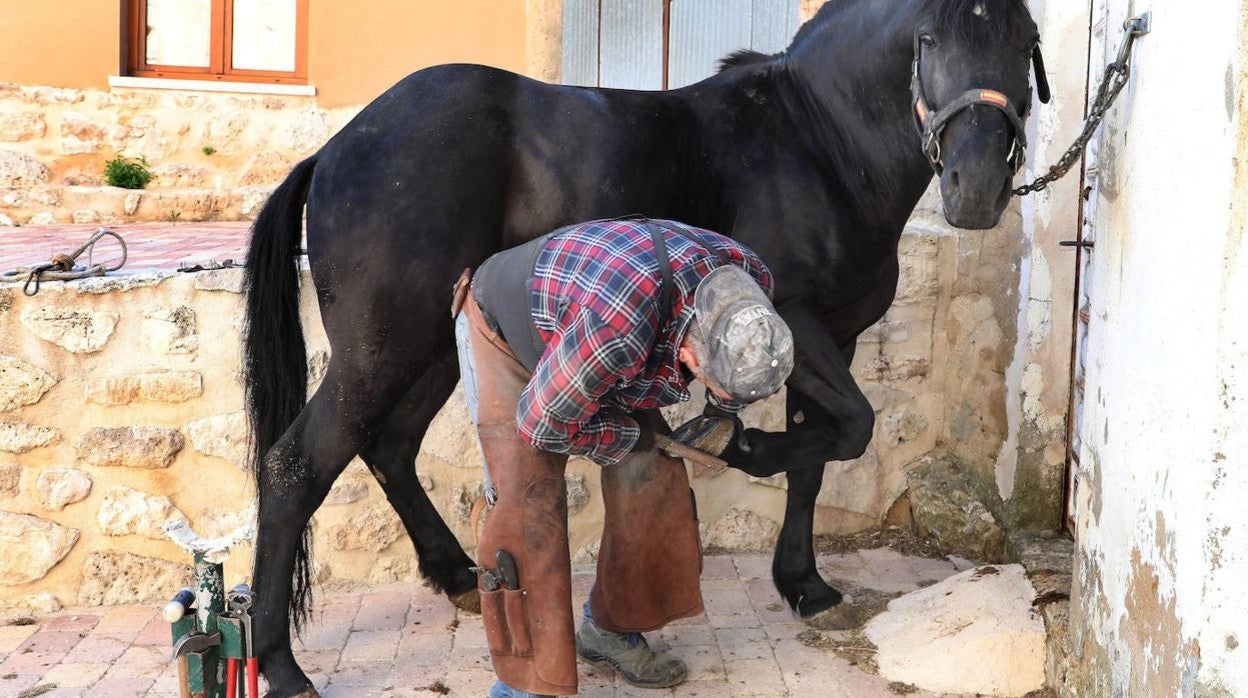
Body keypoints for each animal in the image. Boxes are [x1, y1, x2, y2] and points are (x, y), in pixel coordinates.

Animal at [243, 0, 1043, 694]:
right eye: (929, 38)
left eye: (1026, 40)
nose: (976, 189)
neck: (818, 143)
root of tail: (336, 149)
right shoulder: (796, 318)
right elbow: (852, 428)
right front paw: (744, 449)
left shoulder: (838, 337)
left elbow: (822, 456)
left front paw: (803, 582)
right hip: (379, 351)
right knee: (295, 468)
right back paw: (282, 665)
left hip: (434, 347)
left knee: (390, 446)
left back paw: (460, 575)